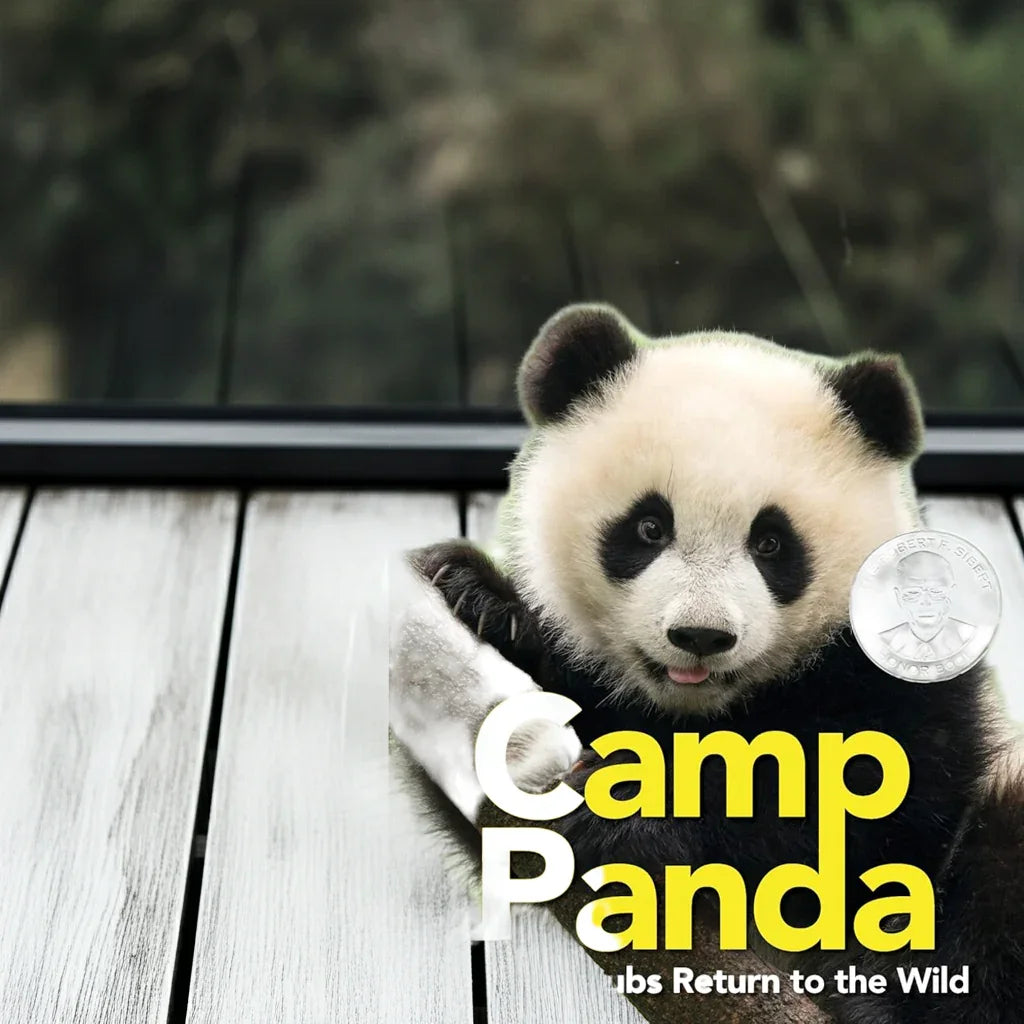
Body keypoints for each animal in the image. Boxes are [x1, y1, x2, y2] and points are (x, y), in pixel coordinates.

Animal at [407, 303, 1024, 1024]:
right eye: (649, 528)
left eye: (772, 543)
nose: (701, 636)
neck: (704, 709)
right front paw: (475, 593)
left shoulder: (898, 686)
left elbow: (857, 804)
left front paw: (628, 809)